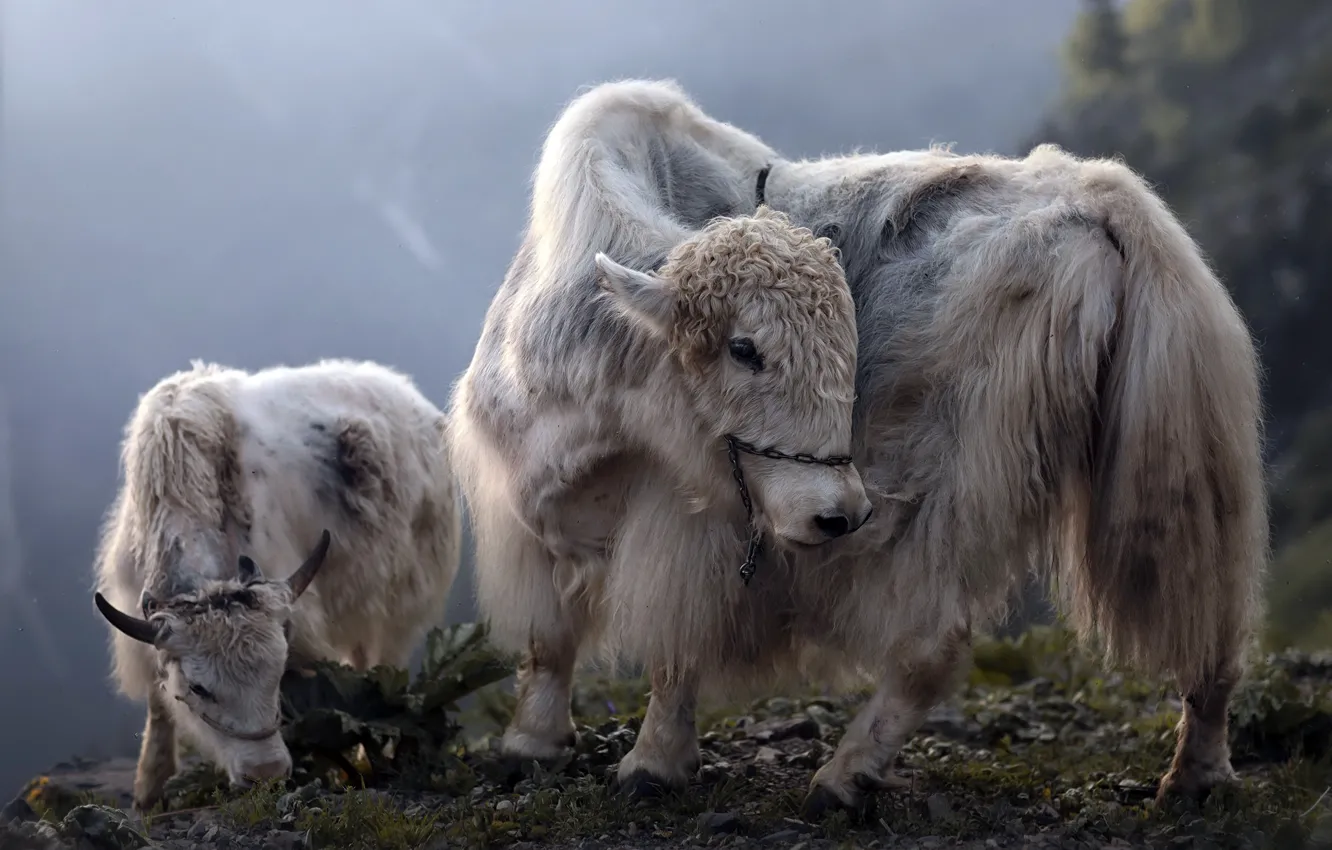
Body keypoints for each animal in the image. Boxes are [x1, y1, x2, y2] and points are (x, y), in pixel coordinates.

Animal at [92, 358, 461, 812]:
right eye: (199, 688)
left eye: (277, 674)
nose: (265, 774)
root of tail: (413, 398)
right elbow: (159, 704)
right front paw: (149, 791)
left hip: (402, 596)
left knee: (384, 662)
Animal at [452, 79, 1267, 817]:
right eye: (744, 349)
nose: (837, 516)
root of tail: (1103, 203)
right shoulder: (529, 503)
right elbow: (548, 639)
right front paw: (531, 748)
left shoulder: (686, 524)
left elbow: (669, 644)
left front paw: (648, 765)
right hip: (1188, 474)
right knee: (1210, 624)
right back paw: (1193, 778)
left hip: (959, 482)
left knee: (929, 642)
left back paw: (840, 780)